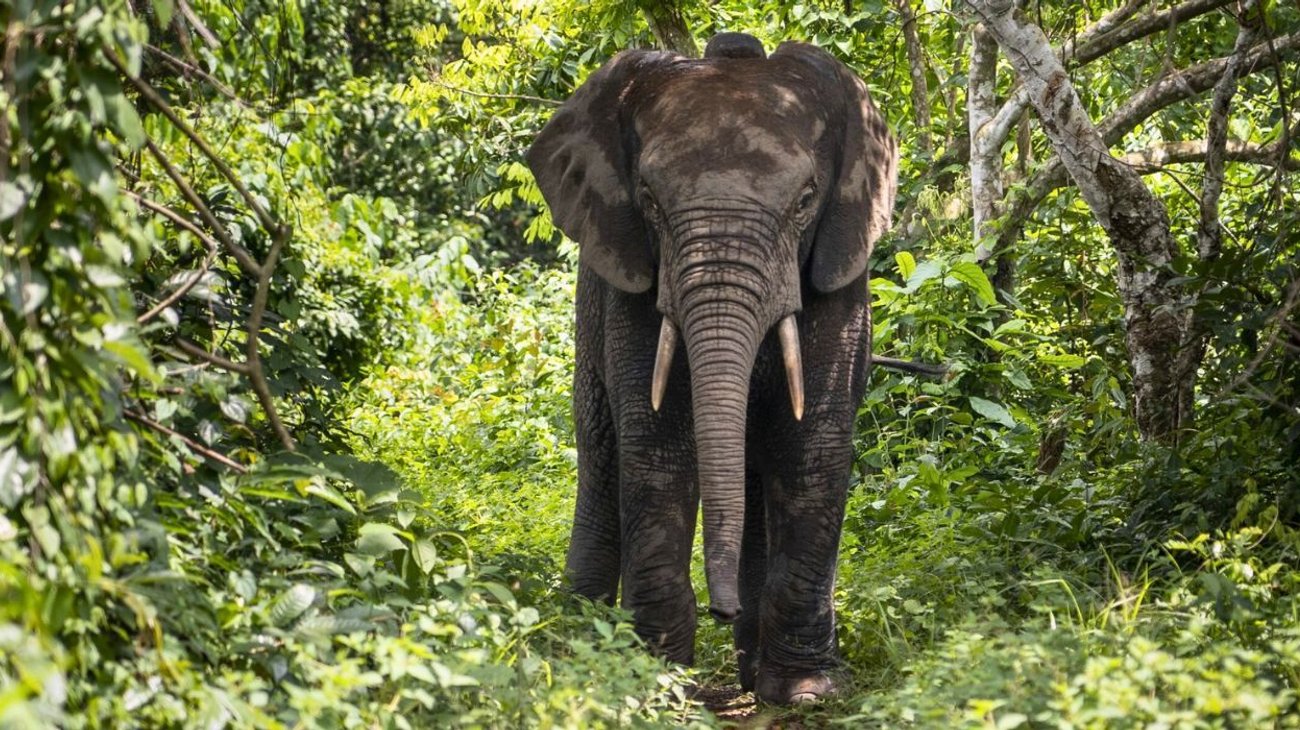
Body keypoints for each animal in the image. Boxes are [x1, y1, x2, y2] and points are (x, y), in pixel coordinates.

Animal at [525, 32, 897, 704]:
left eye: (805, 202)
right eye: (649, 200)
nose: (720, 610)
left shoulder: (841, 274)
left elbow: (811, 448)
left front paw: (806, 689)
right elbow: (658, 445)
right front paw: (654, 679)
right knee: (600, 453)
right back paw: (578, 640)